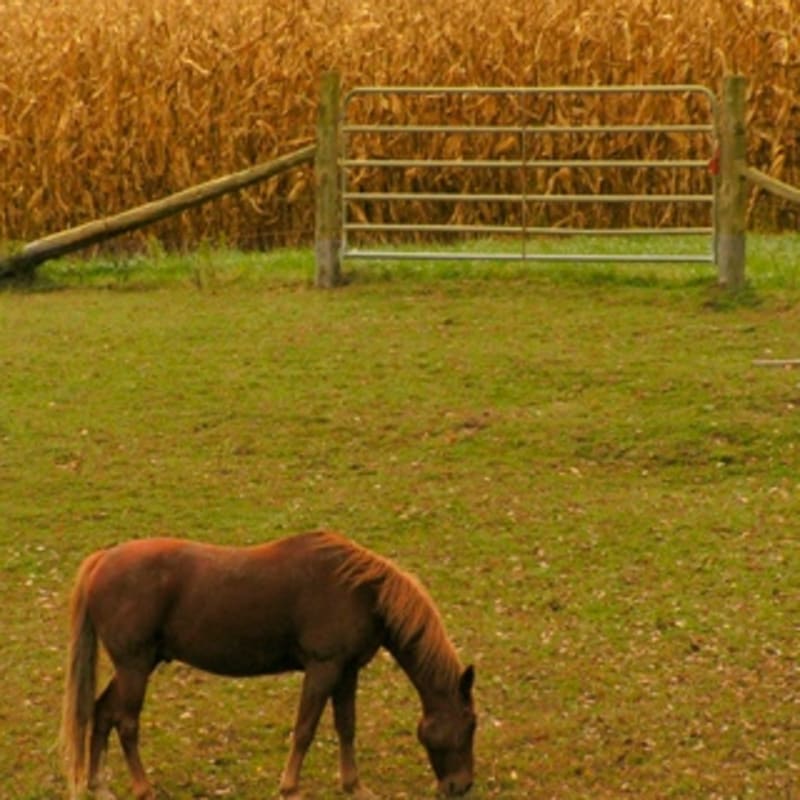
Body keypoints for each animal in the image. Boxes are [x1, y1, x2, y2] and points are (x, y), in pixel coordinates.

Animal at [60, 530, 476, 799]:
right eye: (470, 724)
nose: (463, 785)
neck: (361, 592)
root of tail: (102, 560)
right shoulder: (323, 668)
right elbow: (305, 729)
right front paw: (289, 787)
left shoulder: (347, 672)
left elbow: (346, 727)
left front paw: (354, 786)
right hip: (135, 665)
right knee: (127, 723)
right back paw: (143, 788)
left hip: (136, 665)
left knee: (102, 712)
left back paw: (98, 784)